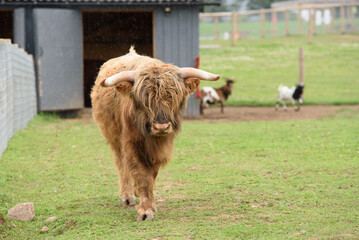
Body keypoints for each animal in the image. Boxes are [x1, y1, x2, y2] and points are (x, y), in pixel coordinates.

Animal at [90, 47, 219, 222]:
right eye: (145, 99)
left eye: (173, 96)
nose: (161, 126)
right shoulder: (132, 145)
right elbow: (142, 176)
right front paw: (145, 210)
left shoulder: (159, 150)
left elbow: (151, 175)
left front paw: (150, 202)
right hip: (114, 138)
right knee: (122, 165)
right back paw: (127, 196)